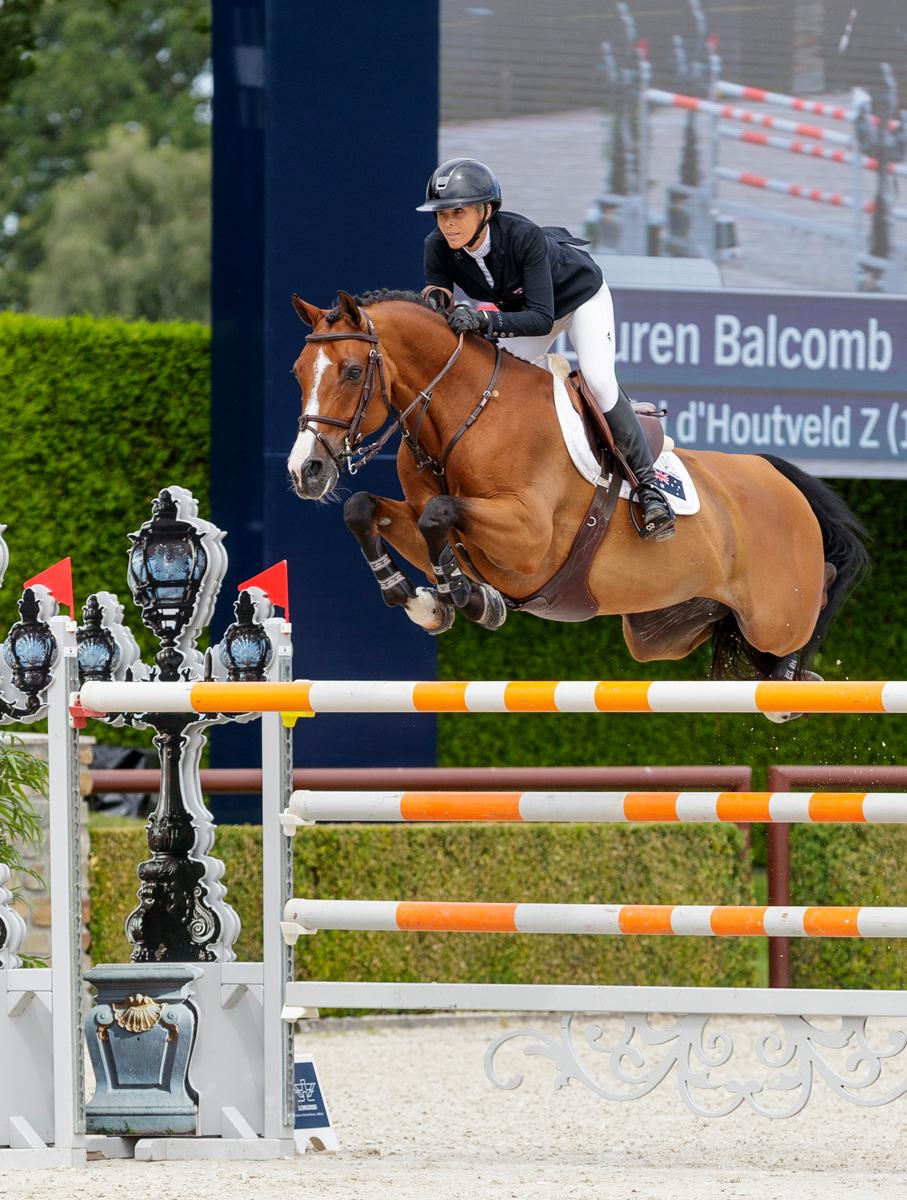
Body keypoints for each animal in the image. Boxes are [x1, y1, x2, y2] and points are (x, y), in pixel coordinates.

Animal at [286, 288, 868, 696]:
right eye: (297, 373)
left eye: (352, 371)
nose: (305, 471)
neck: (463, 415)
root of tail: (779, 477)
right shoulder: (428, 516)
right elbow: (365, 509)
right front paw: (424, 602)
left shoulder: (528, 540)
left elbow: (439, 515)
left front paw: (468, 597)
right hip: (660, 631)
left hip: (775, 614)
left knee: (816, 593)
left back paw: (792, 681)